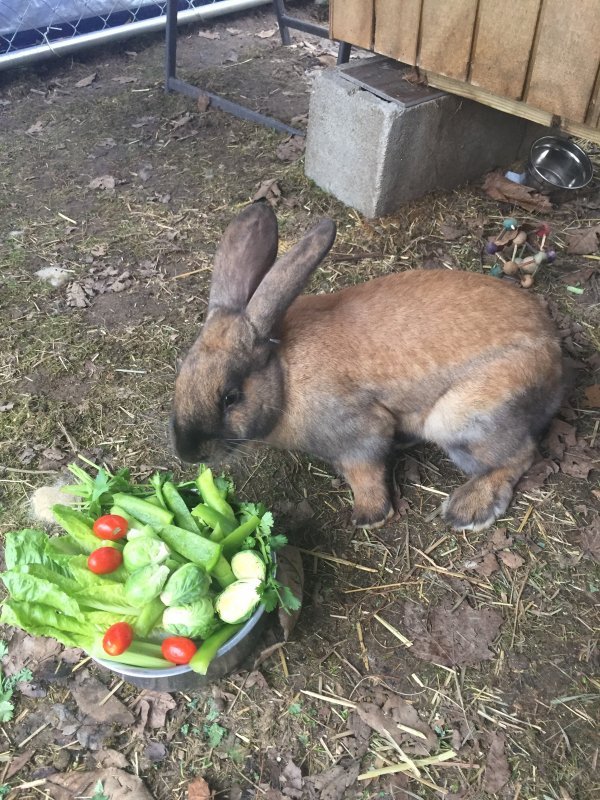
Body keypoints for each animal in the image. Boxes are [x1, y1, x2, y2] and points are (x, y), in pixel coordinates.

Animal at [172, 202, 564, 531]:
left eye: (230, 397)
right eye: (181, 375)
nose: (187, 453)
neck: (284, 375)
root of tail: (555, 354)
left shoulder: (359, 435)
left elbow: (365, 473)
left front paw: (368, 517)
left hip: (460, 417)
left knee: (519, 456)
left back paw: (467, 510)